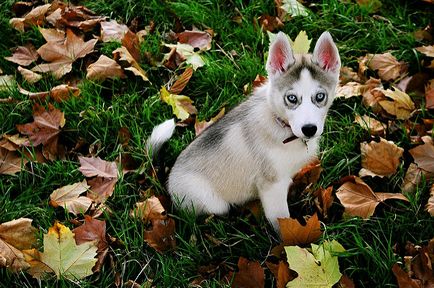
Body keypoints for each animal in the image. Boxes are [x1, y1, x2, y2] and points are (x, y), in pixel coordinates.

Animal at [151, 31, 340, 232]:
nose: (309, 129)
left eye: (320, 96)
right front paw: (287, 237)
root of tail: (168, 181)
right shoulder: (271, 185)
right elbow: (280, 220)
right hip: (212, 202)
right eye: (291, 98)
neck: (280, 124)